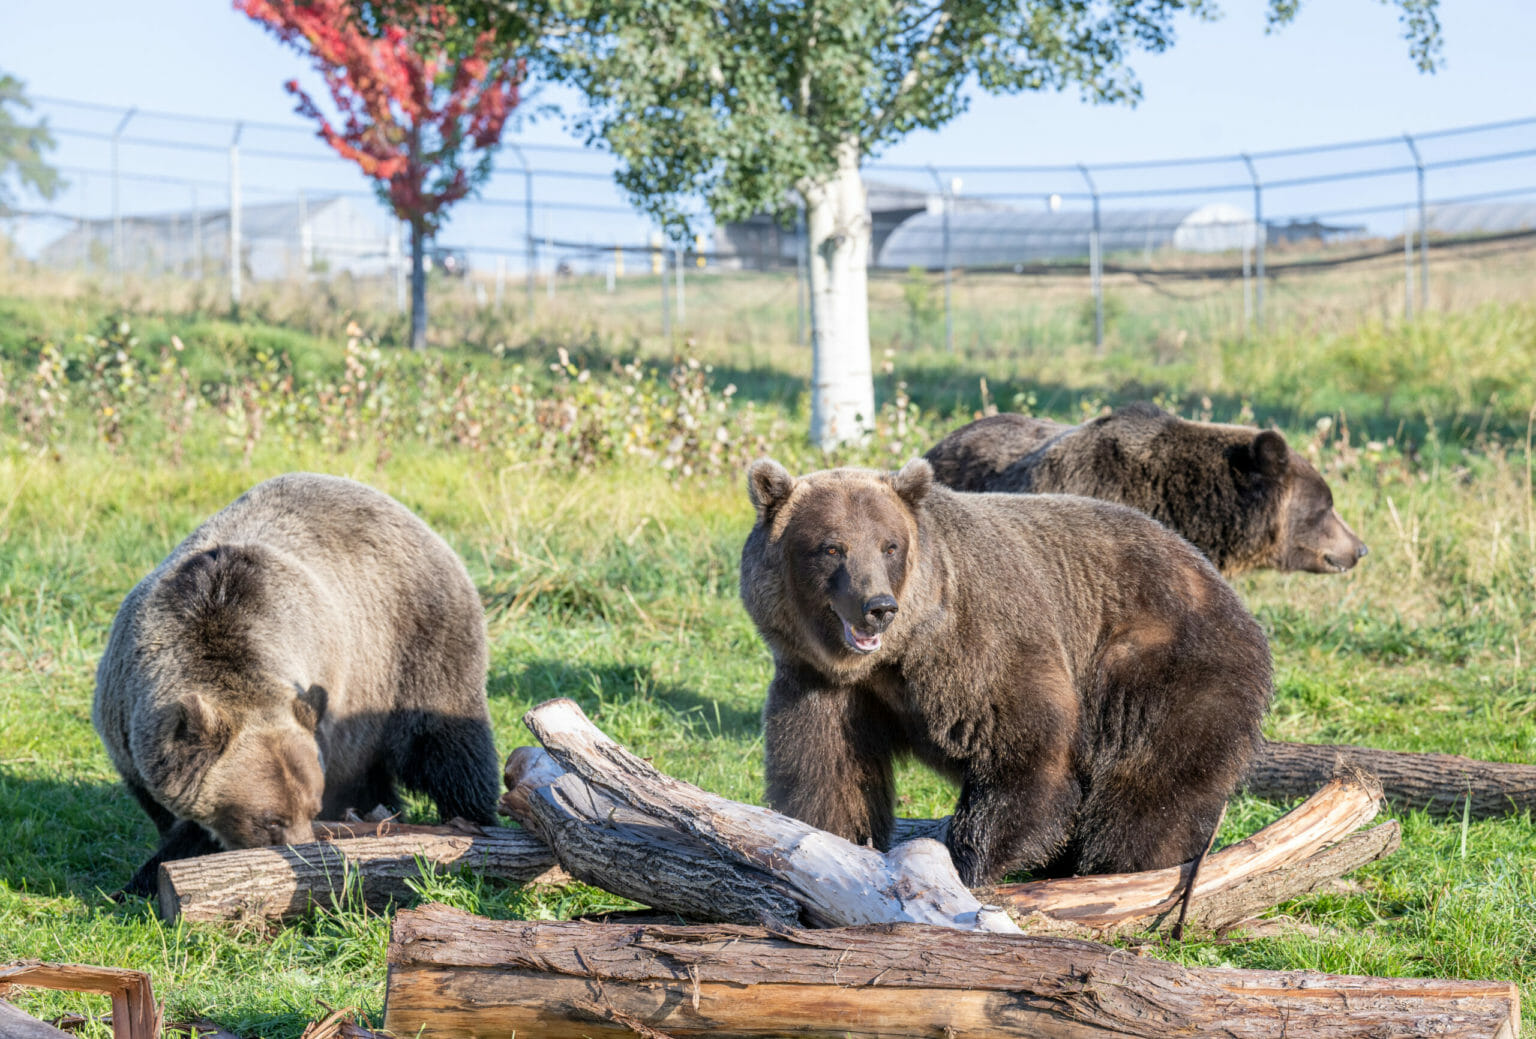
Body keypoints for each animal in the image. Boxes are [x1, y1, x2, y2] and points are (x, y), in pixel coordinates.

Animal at [92, 473, 497, 897]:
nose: (304, 851)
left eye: (310, 809)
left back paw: (473, 820)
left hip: (411, 649)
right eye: (271, 819)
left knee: (448, 745)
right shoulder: (127, 720)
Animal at [740, 458, 1271, 891]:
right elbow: (828, 773)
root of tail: (1224, 587)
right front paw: (834, 844)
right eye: (833, 547)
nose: (877, 607)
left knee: (1149, 783)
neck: (896, 655)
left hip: (1160, 663)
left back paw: (1118, 867)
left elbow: (1023, 750)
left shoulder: (980, 645)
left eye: (889, 545)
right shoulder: (822, 682)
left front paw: (966, 864)